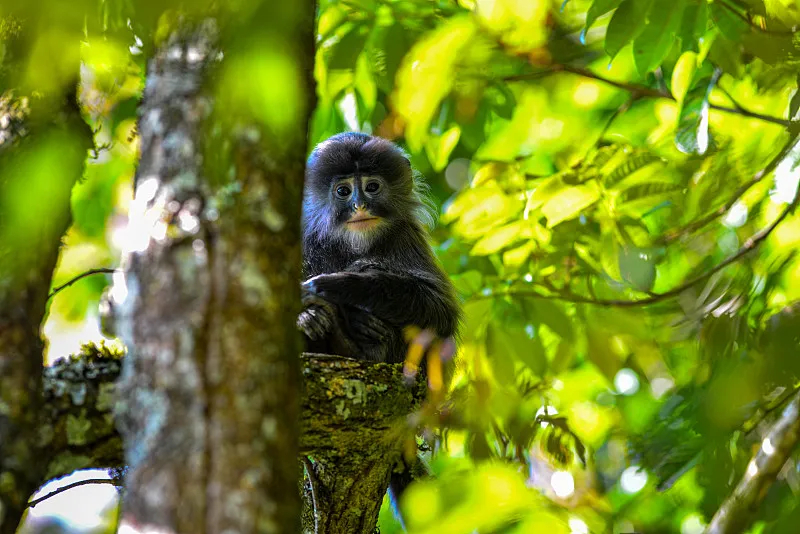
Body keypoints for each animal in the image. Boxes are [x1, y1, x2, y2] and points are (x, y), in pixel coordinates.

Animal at [298, 133, 462, 528]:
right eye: (343, 191)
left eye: (372, 187)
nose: (359, 205)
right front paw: (313, 314)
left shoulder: (406, 237)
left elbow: (441, 313)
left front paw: (347, 284)